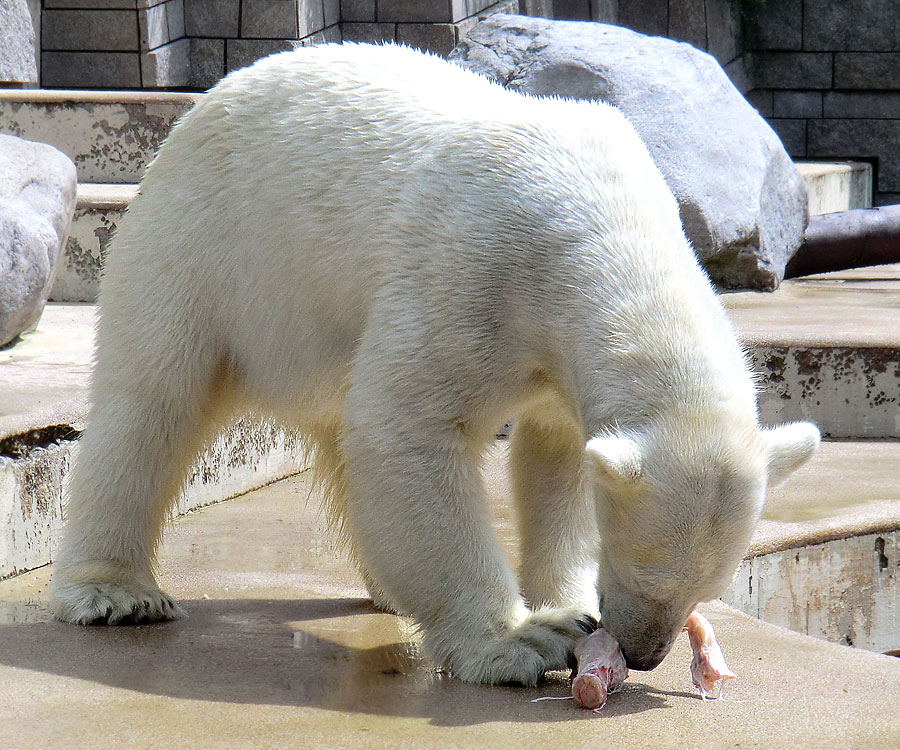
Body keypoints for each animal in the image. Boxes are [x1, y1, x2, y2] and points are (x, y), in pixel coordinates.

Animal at [52, 41, 820, 688]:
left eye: (711, 584)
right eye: (646, 570)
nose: (644, 653)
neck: (599, 220)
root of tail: (201, 105)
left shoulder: (553, 353)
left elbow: (554, 455)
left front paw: (566, 608)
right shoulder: (476, 269)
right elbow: (410, 427)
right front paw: (519, 643)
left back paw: (386, 586)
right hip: (204, 248)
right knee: (154, 401)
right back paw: (115, 593)